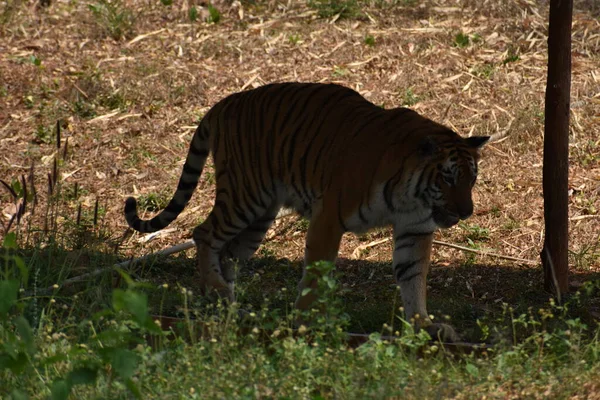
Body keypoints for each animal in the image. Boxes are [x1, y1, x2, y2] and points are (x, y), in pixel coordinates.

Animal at [123, 83, 488, 342]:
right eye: (448, 177)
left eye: (471, 179)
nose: (467, 211)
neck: (411, 194)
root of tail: (225, 102)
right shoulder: (329, 217)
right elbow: (316, 271)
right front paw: (306, 322)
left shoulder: (415, 228)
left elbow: (413, 277)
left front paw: (424, 326)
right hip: (245, 195)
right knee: (204, 233)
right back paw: (217, 291)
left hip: (260, 217)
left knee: (228, 253)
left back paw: (225, 304)